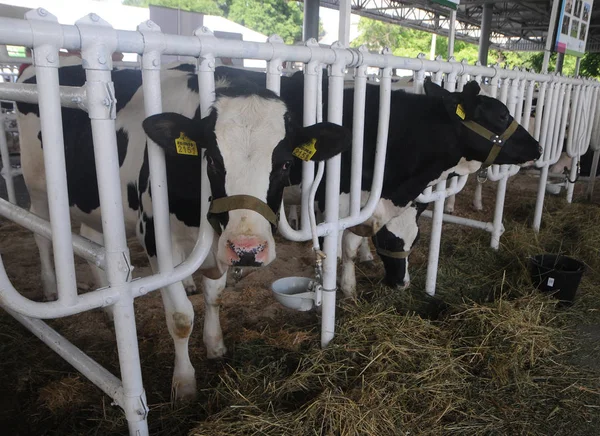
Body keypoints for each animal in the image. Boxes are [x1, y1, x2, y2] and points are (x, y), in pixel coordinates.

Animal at [16, 63, 352, 400]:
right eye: (212, 160)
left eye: (285, 164)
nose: (247, 250)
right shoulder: (155, 239)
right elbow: (180, 317)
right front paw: (184, 382)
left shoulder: (217, 246)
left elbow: (214, 296)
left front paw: (215, 345)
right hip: (39, 190)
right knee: (39, 234)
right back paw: (50, 290)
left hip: (94, 203)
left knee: (91, 241)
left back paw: (110, 310)